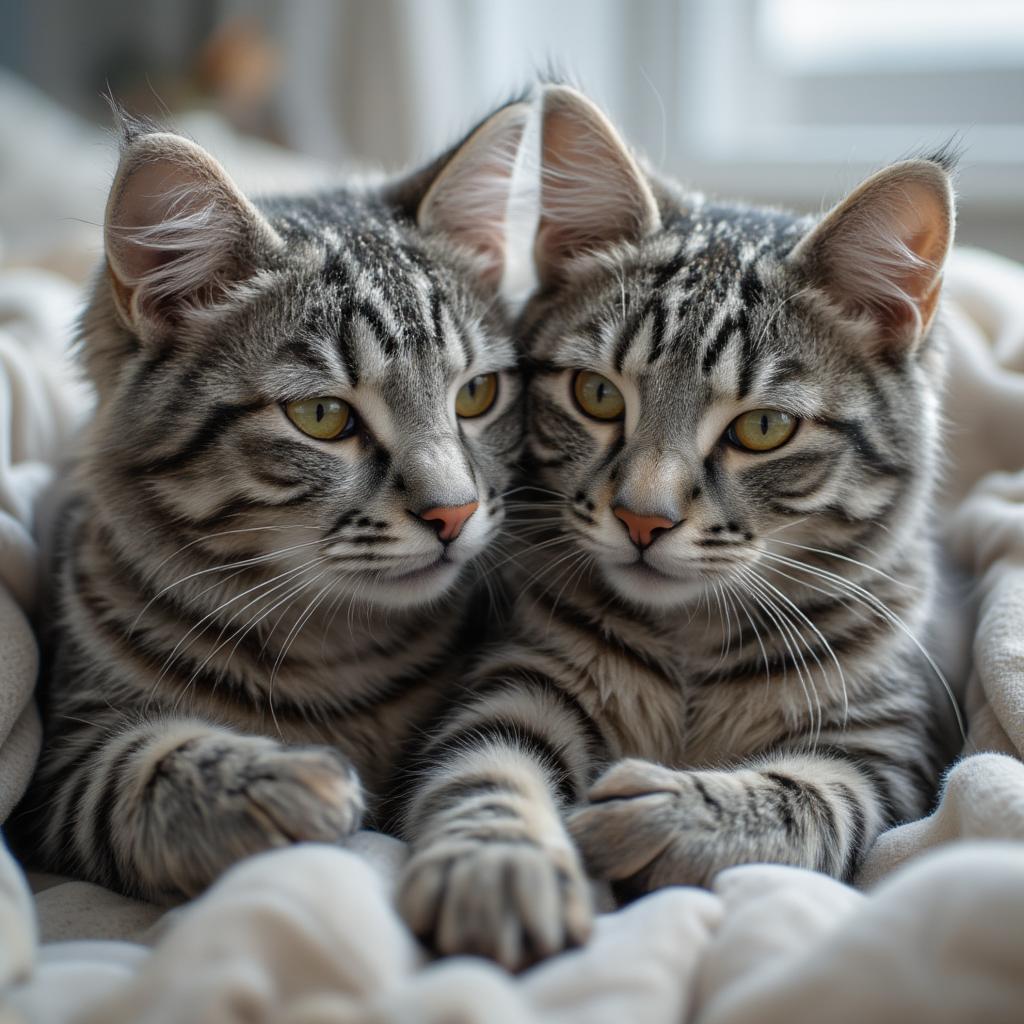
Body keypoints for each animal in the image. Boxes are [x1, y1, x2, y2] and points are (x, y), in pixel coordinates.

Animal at [14, 103, 528, 901]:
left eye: (476, 395)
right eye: (322, 416)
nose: (455, 513)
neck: (330, 649)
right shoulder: (64, 756)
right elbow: (140, 772)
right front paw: (281, 783)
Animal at [397, 86, 958, 966]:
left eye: (763, 429)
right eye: (597, 395)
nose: (642, 518)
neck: (692, 637)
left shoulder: (882, 752)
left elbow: (807, 797)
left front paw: (675, 814)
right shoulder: (525, 677)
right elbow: (486, 765)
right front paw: (497, 865)